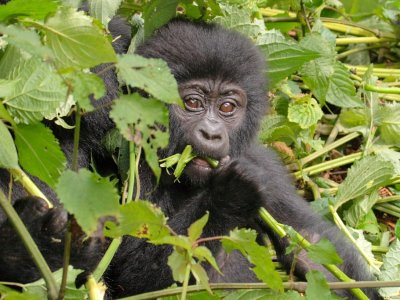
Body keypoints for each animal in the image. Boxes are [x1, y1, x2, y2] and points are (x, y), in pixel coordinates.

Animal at [0, 19, 378, 300]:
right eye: (193, 103)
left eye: (227, 107)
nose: (211, 134)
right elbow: (137, 277)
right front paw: (229, 196)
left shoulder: (269, 171)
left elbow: (314, 251)